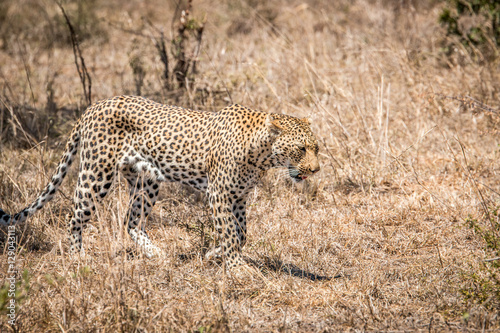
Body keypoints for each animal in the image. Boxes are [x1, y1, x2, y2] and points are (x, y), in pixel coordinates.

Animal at [0, 95, 320, 268]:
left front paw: (213, 255)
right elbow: (230, 233)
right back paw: (79, 258)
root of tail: (94, 105)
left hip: (146, 180)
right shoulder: (219, 193)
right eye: (301, 149)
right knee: (74, 217)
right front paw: (238, 269)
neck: (262, 155)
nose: (316, 170)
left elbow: (240, 234)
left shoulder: (238, 197)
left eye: (316, 147)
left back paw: (157, 254)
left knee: (131, 221)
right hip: (97, 174)